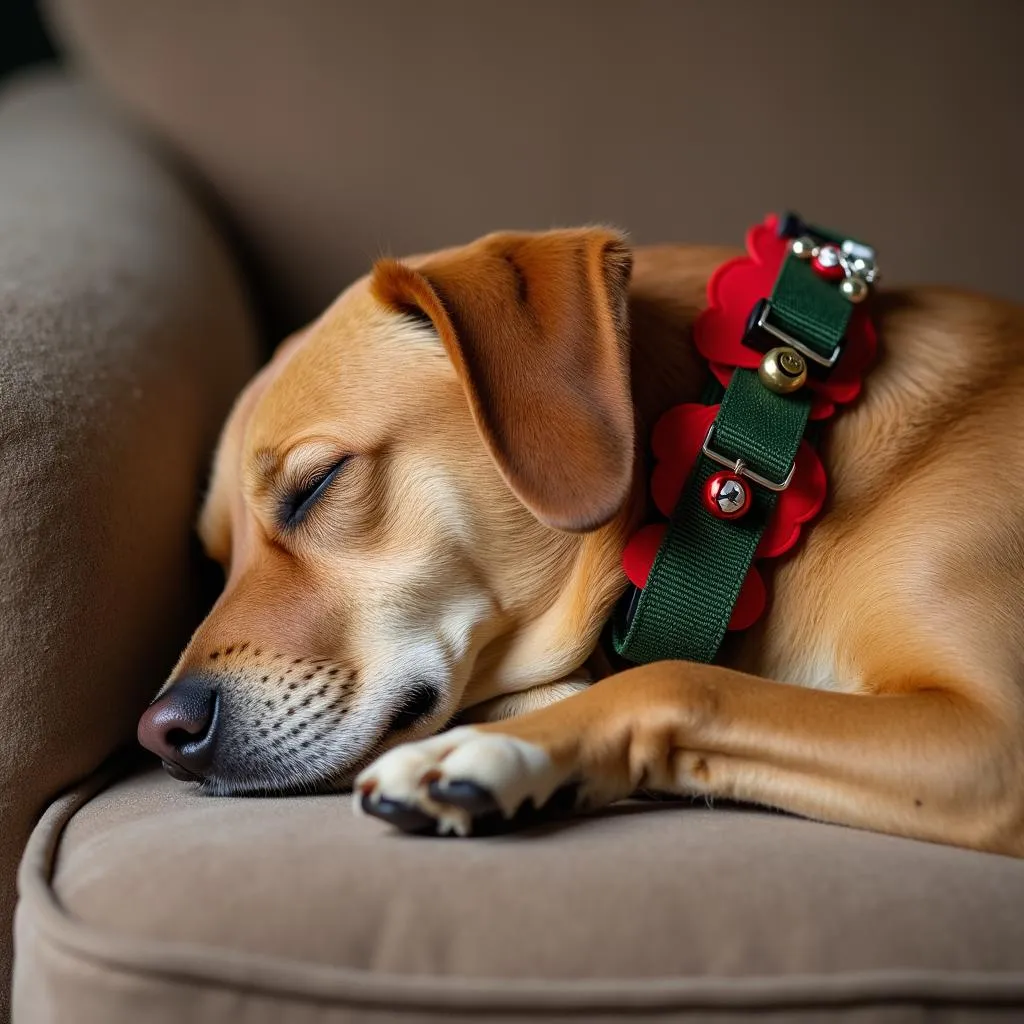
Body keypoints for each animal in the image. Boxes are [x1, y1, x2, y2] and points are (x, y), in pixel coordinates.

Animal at [138, 226, 1024, 856]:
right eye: (215, 559)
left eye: (317, 484)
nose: (162, 735)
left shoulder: (995, 737)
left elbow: (683, 681)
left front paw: (493, 750)